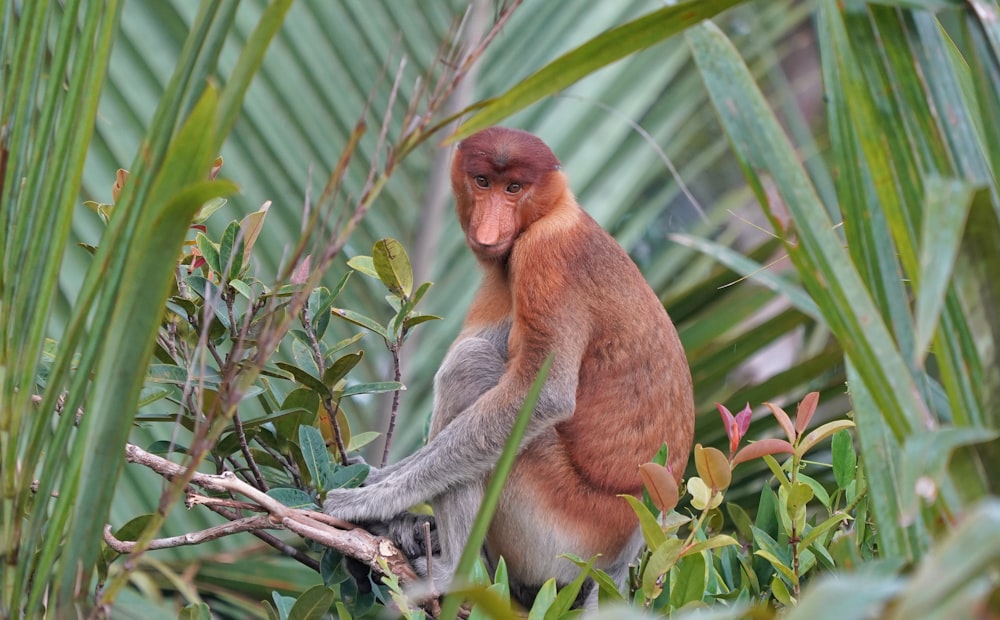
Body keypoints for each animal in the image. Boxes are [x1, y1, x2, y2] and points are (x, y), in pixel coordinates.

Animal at [328, 127, 696, 612]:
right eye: (483, 181)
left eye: (514, 188)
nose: (489, 228)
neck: (551, 214)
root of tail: (622, 559)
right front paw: (375, 479)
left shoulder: (545, 260)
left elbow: (542, 396)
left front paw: (369, 501)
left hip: (560, 529)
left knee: (468, 369)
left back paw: (451, 573)